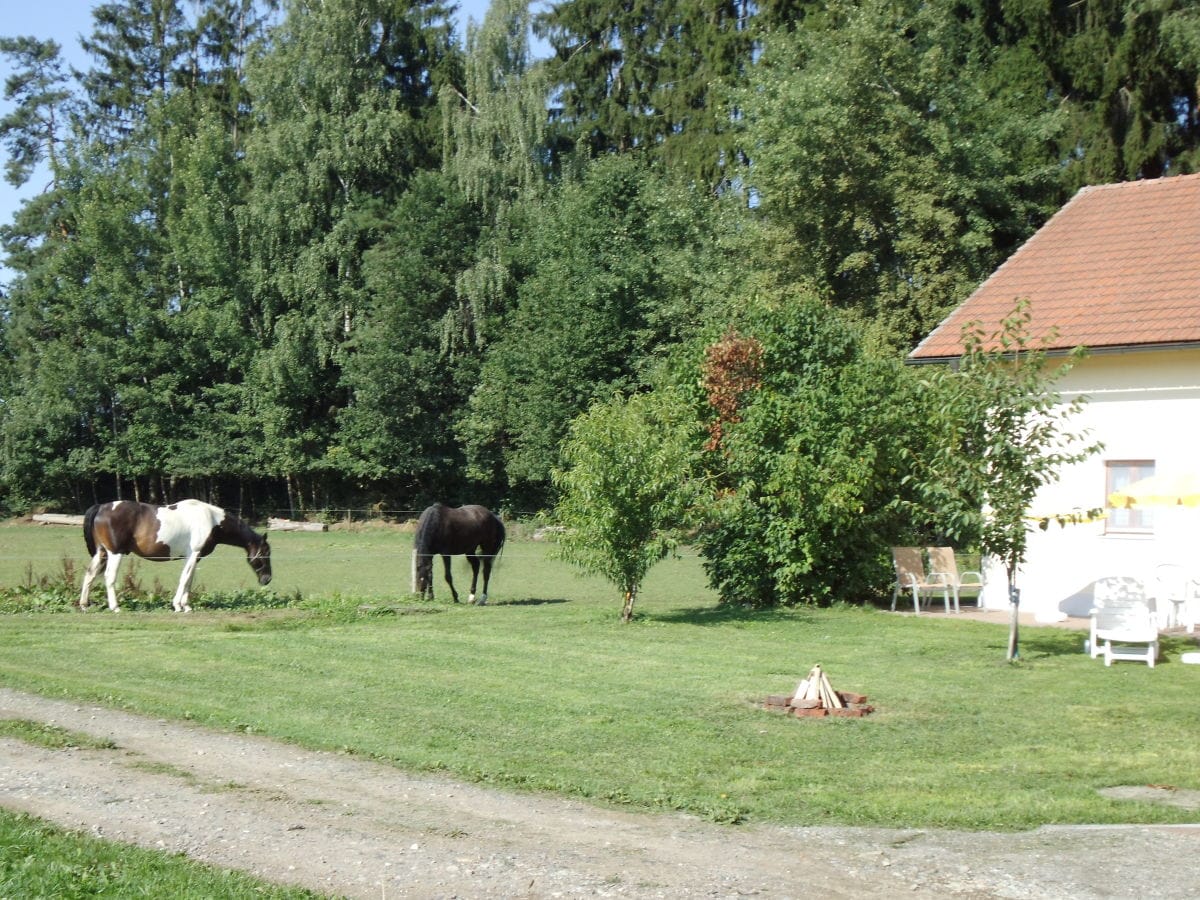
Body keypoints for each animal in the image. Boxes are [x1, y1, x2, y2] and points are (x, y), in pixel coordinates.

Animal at [81, 496, 272, 619]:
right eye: (265, 553)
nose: (267, 579)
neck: (211, 520)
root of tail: (102, 507)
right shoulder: (193, 554)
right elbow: (184, 579)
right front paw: (178, 606)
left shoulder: (195, 557)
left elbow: (189, 580)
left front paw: (186, 606)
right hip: (115, 553)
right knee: (109, 577)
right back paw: (115, 607)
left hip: (101, 553)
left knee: (90, 575)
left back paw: (84, 605)